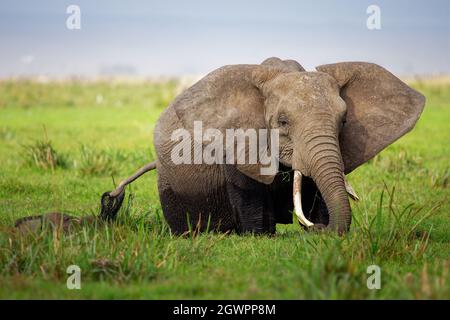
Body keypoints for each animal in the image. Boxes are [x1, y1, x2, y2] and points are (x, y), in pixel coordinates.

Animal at [101, 58, 426, 235]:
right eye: (282, 122)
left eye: (344, 120)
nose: (318, 229)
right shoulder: (238, 141)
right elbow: (251, 196)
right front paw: (263, 236)